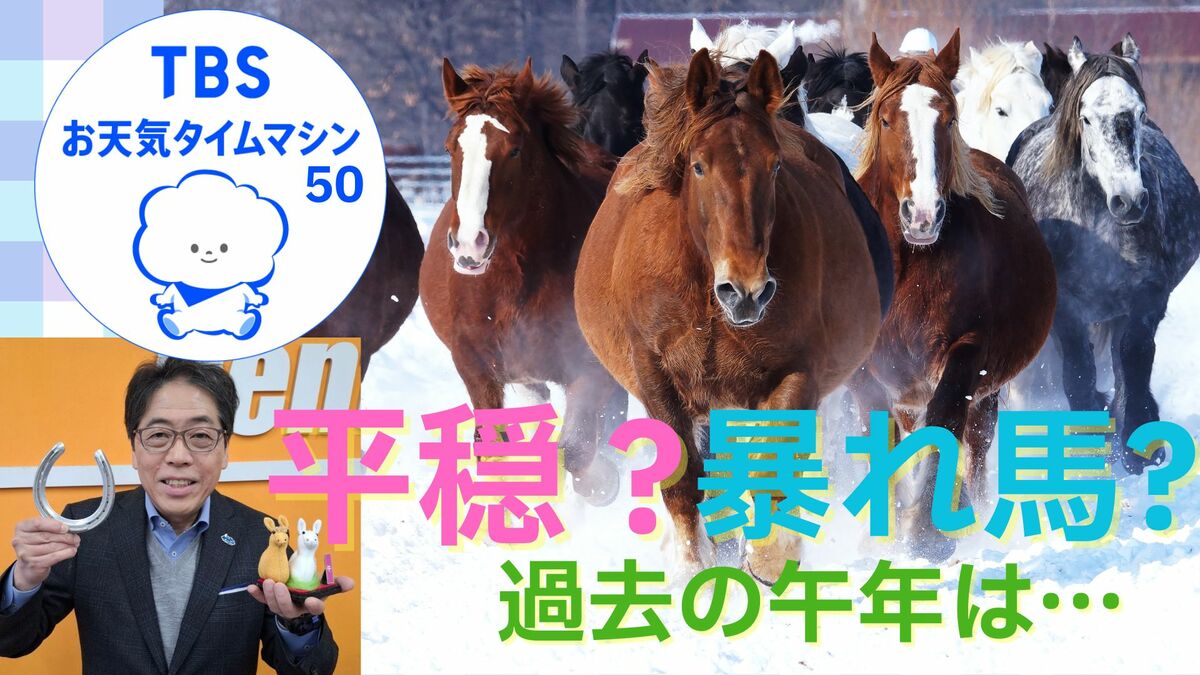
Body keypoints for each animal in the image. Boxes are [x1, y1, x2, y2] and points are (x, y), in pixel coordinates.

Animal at [419, 58, 624, 505]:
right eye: (450, 148)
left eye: (513, 149)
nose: (470, 244)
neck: (515, 280)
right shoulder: (478, 367)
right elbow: (497, 454)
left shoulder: (589, 367)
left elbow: (578, 455)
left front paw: (605, 482)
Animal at [574, 49, 886, 582]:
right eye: (699, 166)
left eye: (775, 165)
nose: (746, 292)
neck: (707, 300)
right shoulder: (656, 376)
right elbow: (683, 481)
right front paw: (691, 566)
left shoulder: (795, 375)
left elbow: (771, 469)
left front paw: (770, 557)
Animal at [853, 30, 1056, 561]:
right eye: (887, 118)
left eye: (948, 118)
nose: (923, 214)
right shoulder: (868, 374)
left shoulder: (965, 355)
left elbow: (944, 426)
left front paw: (927, 537)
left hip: (985, 391)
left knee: (975, 445)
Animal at [1007, 34, 1200, 474]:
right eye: (1087, 118)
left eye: (1140, 112)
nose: (1129, 201)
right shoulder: (1066, 308)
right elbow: (1078, 373)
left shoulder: (1146, 300)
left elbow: (1133, 362)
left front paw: (1134, 448)